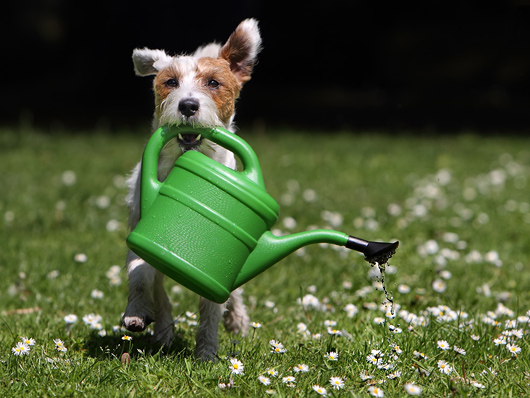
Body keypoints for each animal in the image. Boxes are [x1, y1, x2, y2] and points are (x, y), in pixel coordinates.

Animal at [120, 19, 260, 360]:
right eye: (170, 82)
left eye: (213, 82)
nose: (188, 105)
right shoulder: (140, 227)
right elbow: (140, 274)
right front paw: (136, 312)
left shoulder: (220, 253)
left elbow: (212, 303)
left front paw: (207, 351)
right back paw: (162, 332)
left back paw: (237, 320)